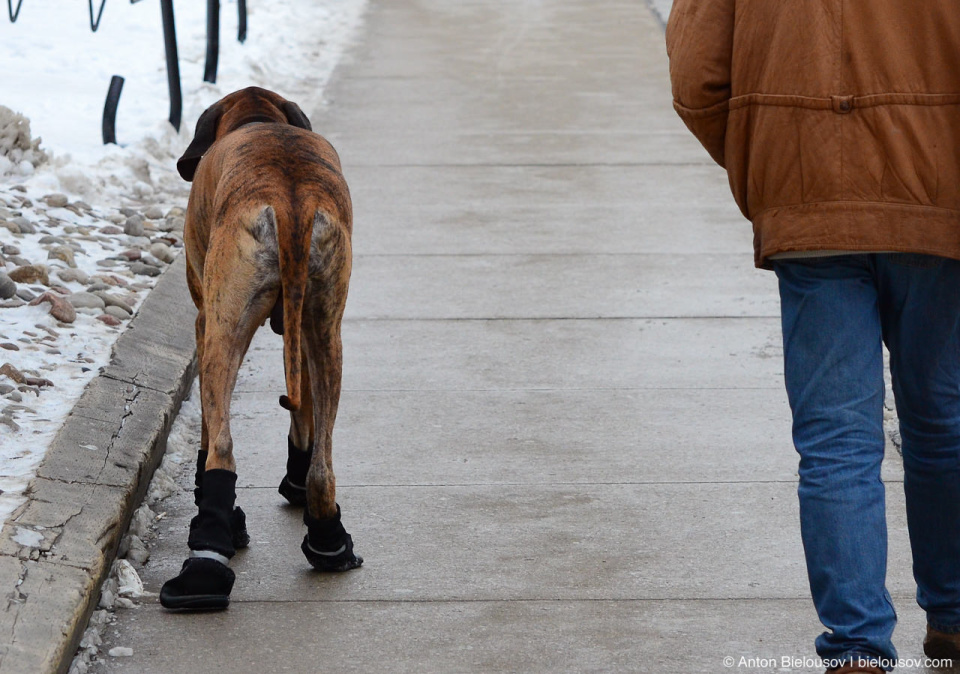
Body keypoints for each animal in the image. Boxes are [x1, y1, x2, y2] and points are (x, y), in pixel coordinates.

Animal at [162, 85, 364, 608]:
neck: (257, 118)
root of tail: (290, 202)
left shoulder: (204, 321)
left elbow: (209, 431)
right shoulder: (303, 331)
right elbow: (305, 413)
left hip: (222, 332)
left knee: (221, 448)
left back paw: (206, 563)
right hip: (324, 327)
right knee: (323, 464)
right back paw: (329, 541)